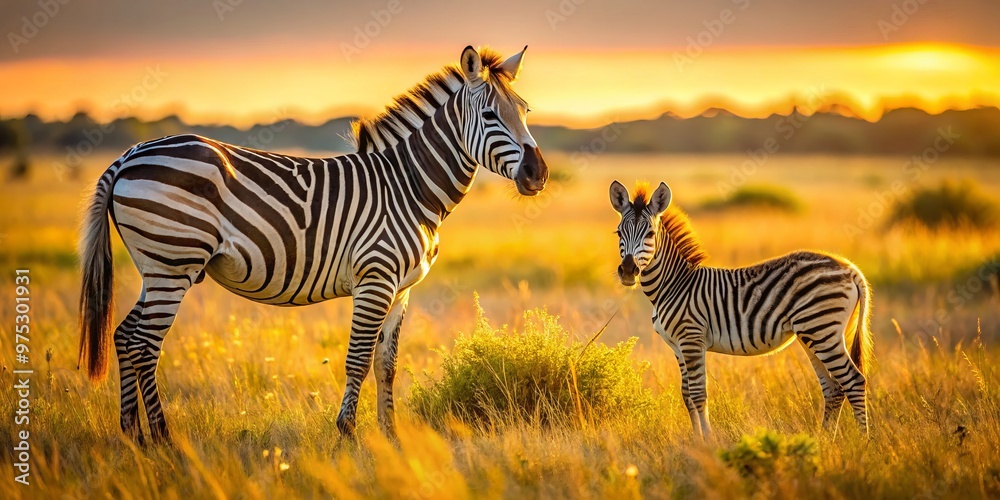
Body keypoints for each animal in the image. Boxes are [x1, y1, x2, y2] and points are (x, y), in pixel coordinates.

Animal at [77, 46, 548, 443]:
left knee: (124, 335)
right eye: (489, 114)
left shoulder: (401, 289)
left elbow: (387, 364)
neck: (409, 186)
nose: (538, 174)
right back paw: (163, 439)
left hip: (157, 267)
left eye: (525, 111)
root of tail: (130, 154)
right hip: (173, 263)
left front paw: (391, 438)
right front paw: (348, 435)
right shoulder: (375, 278)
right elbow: (358, 358)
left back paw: (133, 436)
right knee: (144, 344)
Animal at [608, 180, 873, 438]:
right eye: (619, 232)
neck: (674, 285)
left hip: (821, 329)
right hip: (814, 334)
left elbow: (698, 394)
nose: (628, 271)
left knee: (853, 381)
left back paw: (864, 442)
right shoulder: (677, 347)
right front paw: (696, 443)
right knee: (834, 388)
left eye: (650, 233)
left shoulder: (692, 340)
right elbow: (687, 396)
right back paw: (824, 441)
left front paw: (709, 442)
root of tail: (850, 269)